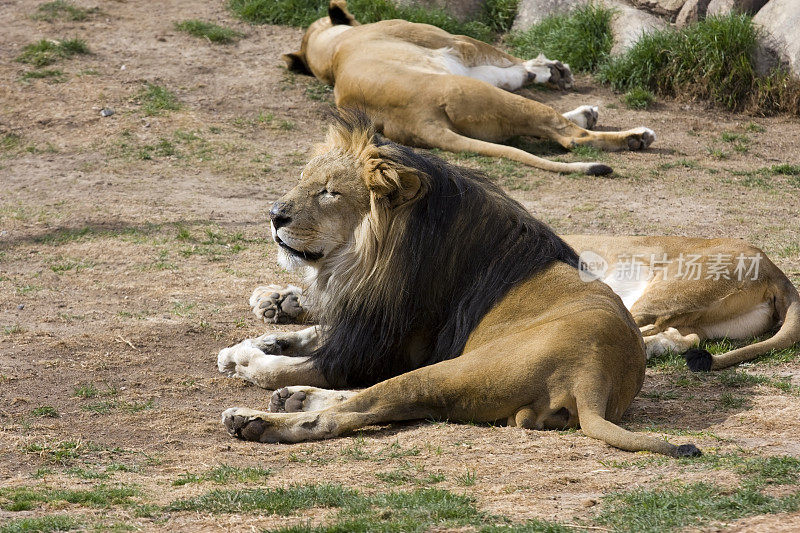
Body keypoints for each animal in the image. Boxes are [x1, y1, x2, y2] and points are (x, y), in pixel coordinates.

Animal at [219, 109, 700, 458]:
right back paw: (292, 398)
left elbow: (297, 364)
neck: (361, 259)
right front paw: (251, 344)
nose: (274, 215)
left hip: (447, 370)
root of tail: (595, 375)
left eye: (329, 193)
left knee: (357, 409)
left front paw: (252, 362)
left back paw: (257, 421)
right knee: (366, 402)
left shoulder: (381, 347)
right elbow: (309, 333)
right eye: (303, 182)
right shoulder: (364, 317)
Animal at [282, 0, 656, 175]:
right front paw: (550, 68)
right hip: (484, 96)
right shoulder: (455, 41)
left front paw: (547, 73)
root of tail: (419, 124)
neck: (332, 53)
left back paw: (588, 114)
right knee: (569, 137)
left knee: (545, 127)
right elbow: (507, 61)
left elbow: (507, 72)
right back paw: (635, 137)